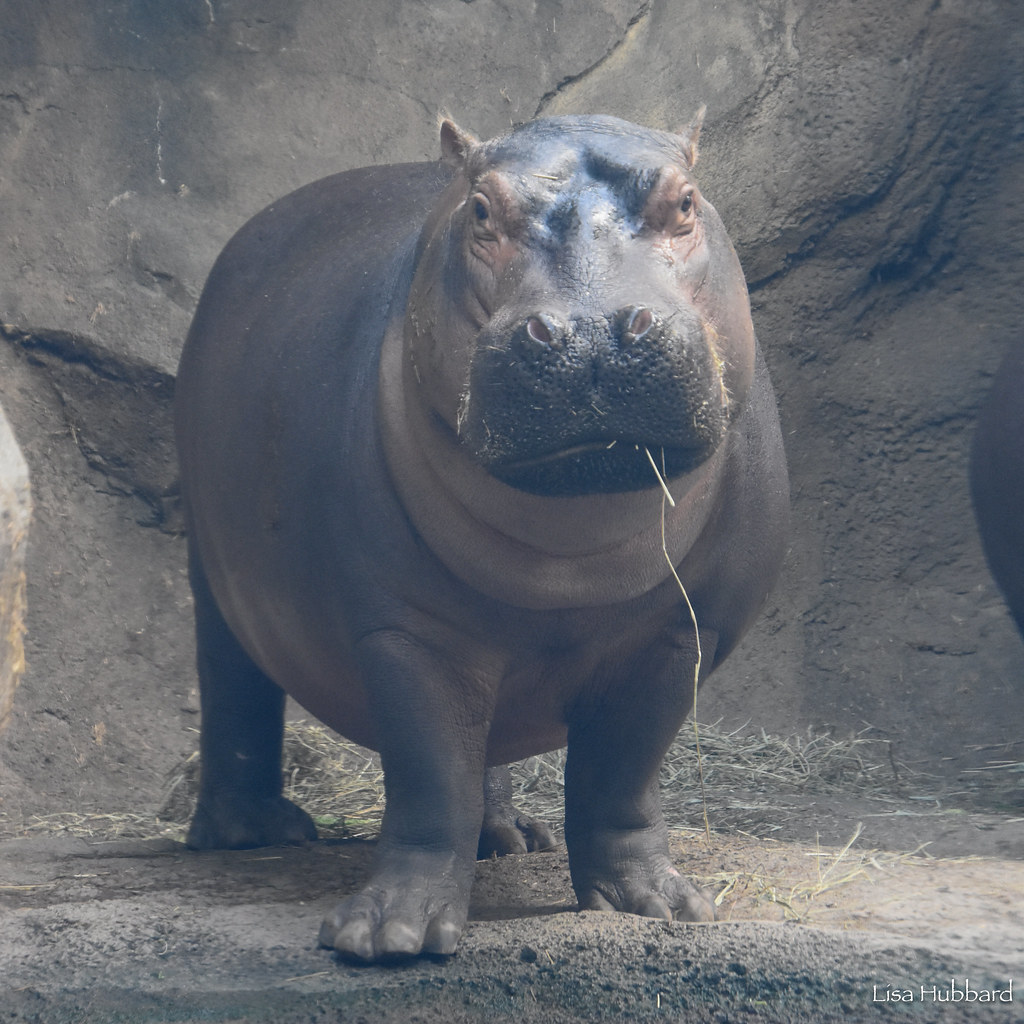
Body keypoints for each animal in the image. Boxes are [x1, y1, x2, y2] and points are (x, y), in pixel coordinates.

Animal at [174, 112, 790, 958]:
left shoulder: (680, 634)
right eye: (479, 211)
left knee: (493, 747)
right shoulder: (408, 630)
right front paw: (387, 935)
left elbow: (623, 772)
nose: (591, 331)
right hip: (212, 568)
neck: (574, 553)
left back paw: (510, 838)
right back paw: (251, 834)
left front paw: (658, 908)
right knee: (234, 684)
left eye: (688, 201)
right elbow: (433, 774)